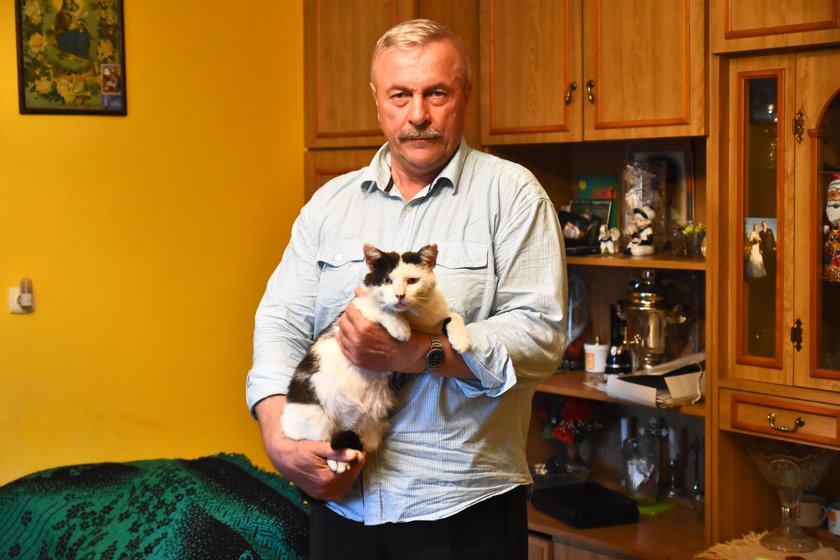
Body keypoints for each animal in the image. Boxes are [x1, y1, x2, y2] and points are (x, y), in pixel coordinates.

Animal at [281, 243, 470, 473]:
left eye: (412, 280)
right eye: (387, 280)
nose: (399, 296)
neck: (411, 317)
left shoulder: (434, 318)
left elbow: (454, 317)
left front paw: (461, 339)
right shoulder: (357, 306)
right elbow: (379, 307)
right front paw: (400, 328)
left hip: (372, 427)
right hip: (313, 412)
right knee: (322, 441)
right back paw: (337, 460)